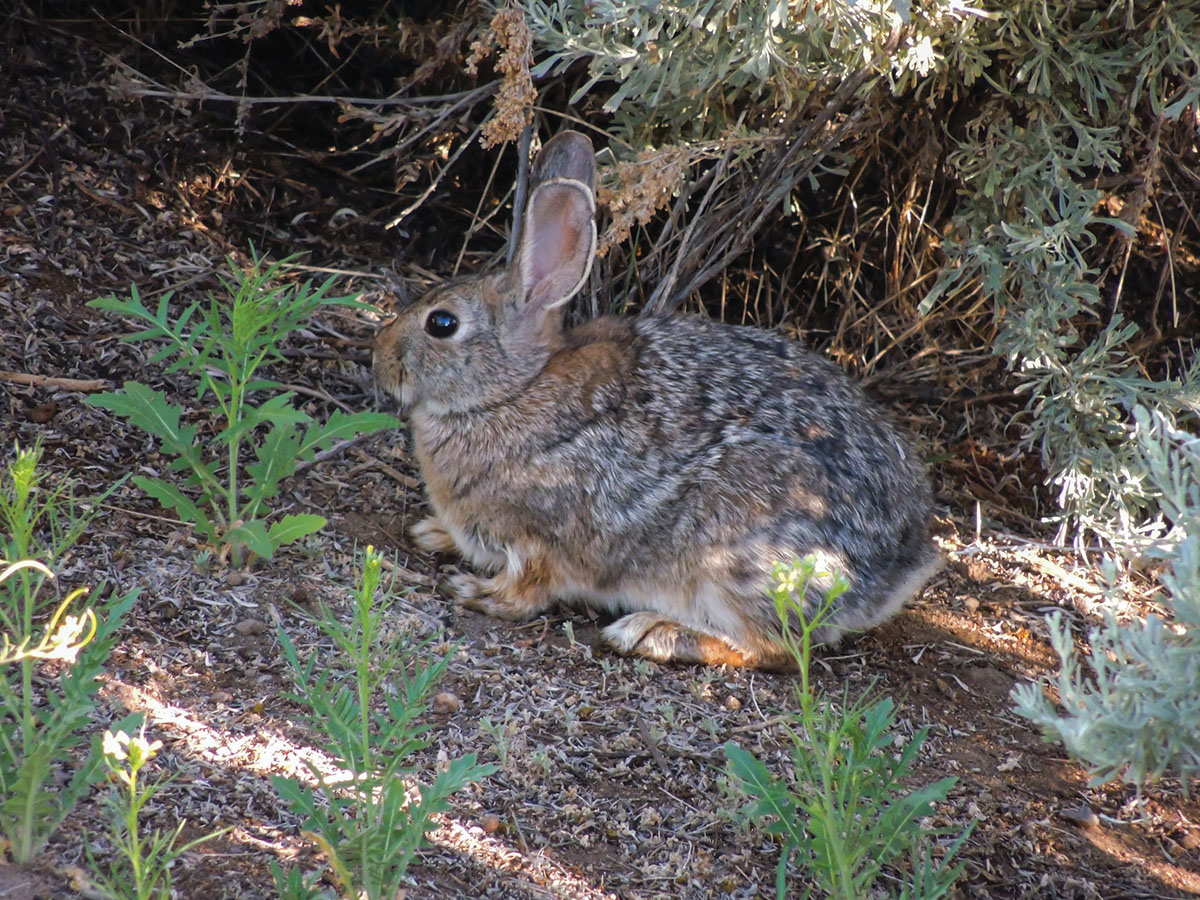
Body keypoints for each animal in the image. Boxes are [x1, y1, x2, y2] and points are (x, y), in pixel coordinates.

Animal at [373, 130, 941, 669]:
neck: (514, 390)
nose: (380, 361)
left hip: (732, 555)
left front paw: (475, 591)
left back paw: (653, 633)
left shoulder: (539, 537)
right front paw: (434, 533)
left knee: (774, 649)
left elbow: (525, 590)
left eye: (441, 324)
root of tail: (897, 565)